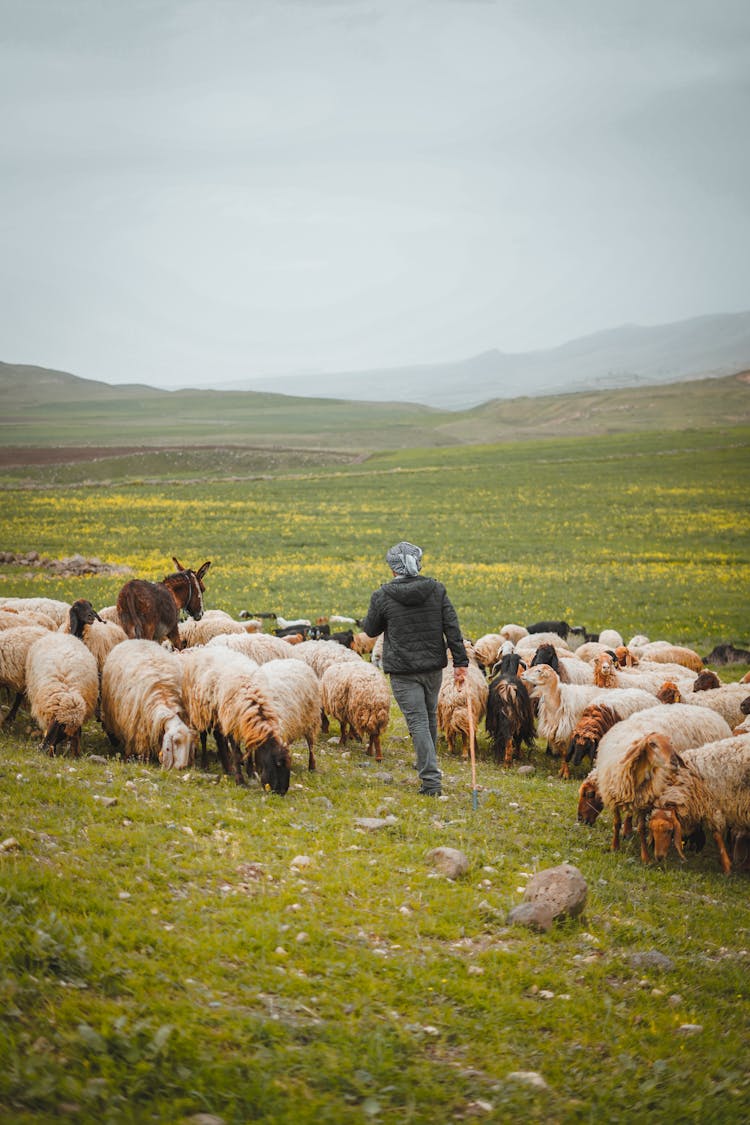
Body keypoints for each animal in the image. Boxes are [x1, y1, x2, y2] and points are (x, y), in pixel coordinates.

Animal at [101, 639, 197, 769]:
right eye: (176, 742)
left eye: (189, 743)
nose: (181, 767)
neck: (163, 697)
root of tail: (134, 639)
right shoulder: (137, 727)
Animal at [647, 733, 750, 873]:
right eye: (652, 829)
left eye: (669, 830)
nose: (659, 857)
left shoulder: (714, 806)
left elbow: (717, 836)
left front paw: (727, 867)